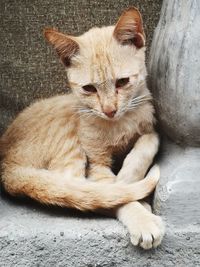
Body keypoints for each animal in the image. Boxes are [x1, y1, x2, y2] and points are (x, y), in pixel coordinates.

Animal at [0, 6, 164, 249]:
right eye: (89, 88)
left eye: (122, 82)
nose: (109, 110)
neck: (118, 124)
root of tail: (6, 162)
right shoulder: (96, 165)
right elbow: (110, 193)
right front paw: (142, 219)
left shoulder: (150, 128)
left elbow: (147, 143)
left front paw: (128, 174)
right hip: (69, 142)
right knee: (80, 195)